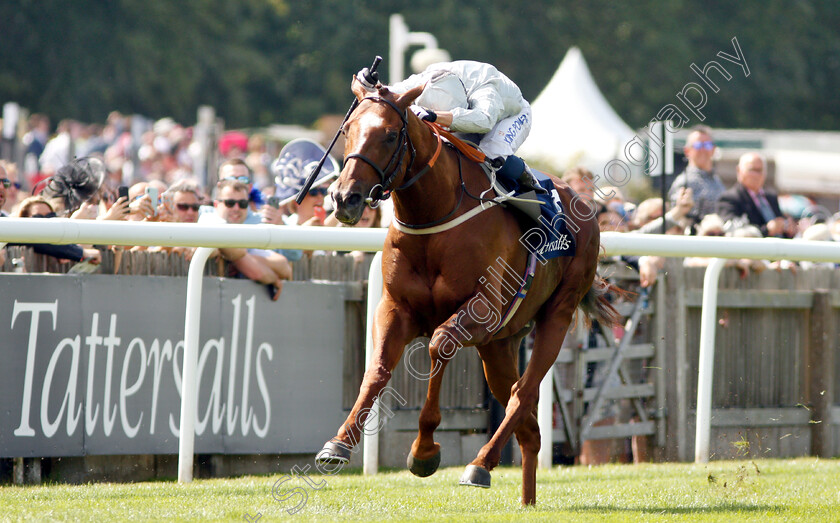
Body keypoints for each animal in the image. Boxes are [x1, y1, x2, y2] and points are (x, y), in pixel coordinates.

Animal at [322, 75, 616, 506]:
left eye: (391, 135)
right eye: (347, 131)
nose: (345, 198)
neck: (435, 212)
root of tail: (587, 207)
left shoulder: (481, 310)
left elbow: (438, 344)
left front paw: (424, 452)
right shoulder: (394, 307)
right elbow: (376, 371)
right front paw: (339, 443)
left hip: (556, 316)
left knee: (524, 393)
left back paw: (480, 464)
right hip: (500, 344)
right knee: (528, 424)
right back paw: (525, 499)